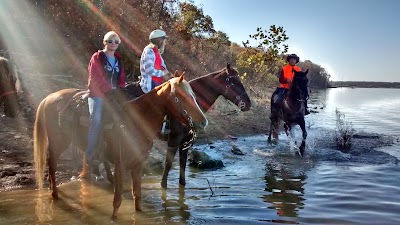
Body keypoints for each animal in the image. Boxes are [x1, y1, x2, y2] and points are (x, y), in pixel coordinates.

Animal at [33, 74, 208, 219]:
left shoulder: (138, 163)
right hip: (59, 142)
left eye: (193, 95)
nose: (203, 122)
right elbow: (117, 199)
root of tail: (49, 98)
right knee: (51, 164)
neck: (136, 120)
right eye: (182, 97)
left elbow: (137, 194)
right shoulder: (120, 163)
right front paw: (113, 218)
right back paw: (54, 194)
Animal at [123, 62, 252, 188]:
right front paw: (163, 186)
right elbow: (168, 165)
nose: (248, 104)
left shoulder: (186, 141)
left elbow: (183, 165)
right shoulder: (174, 140)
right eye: (234, 82)